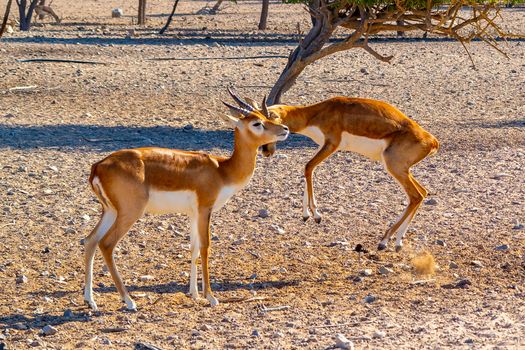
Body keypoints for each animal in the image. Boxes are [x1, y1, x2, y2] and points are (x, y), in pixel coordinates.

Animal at [82, 89, 288, 310]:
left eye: (267, 117)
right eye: (257, 123)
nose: (284, 129)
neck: (222, 171)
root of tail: (98, 166)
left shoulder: (193, 212)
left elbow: (193, 248)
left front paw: (195, 294)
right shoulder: (205, 208)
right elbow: (205, 246)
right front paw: (210, 296)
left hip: (111, 211)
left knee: (90, 240)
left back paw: (90, 300)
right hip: (130, 212)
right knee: (106, 244)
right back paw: (129, 301)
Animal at [238, 95, 438, 252]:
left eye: (269, 123)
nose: (266, 151)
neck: (318, 113)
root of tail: (432, 141)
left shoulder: (331, 144)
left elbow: (308, 167)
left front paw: (317, 215)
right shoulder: (322, 145)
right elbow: (308, 169)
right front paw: (306, 214)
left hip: (394, 167)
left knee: (415, 195)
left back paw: (383, 241)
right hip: (403, 170)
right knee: (422, 193)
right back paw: (396, 242)